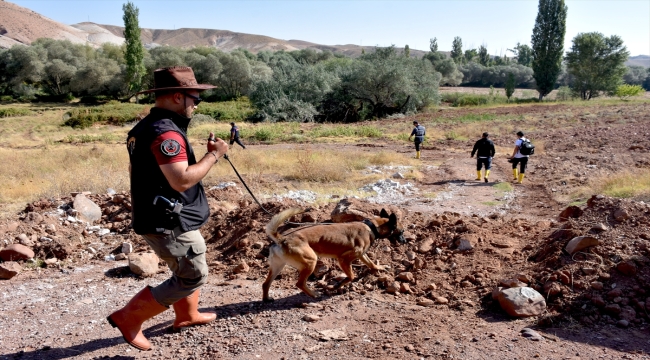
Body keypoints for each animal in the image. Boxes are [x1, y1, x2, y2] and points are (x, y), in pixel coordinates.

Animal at [260, 207, 402, 302]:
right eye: (401, 231)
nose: (404, 240)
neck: (371, 226)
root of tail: (281, 238)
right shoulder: (343, 258)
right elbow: (351, 276)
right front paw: (338, 285)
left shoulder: (362, 255)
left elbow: (371, 263)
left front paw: (379, 267)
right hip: (311, 261)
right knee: (299, 284)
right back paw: (314, 295)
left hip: (278, 266)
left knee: (265, 284)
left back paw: (266, 299)